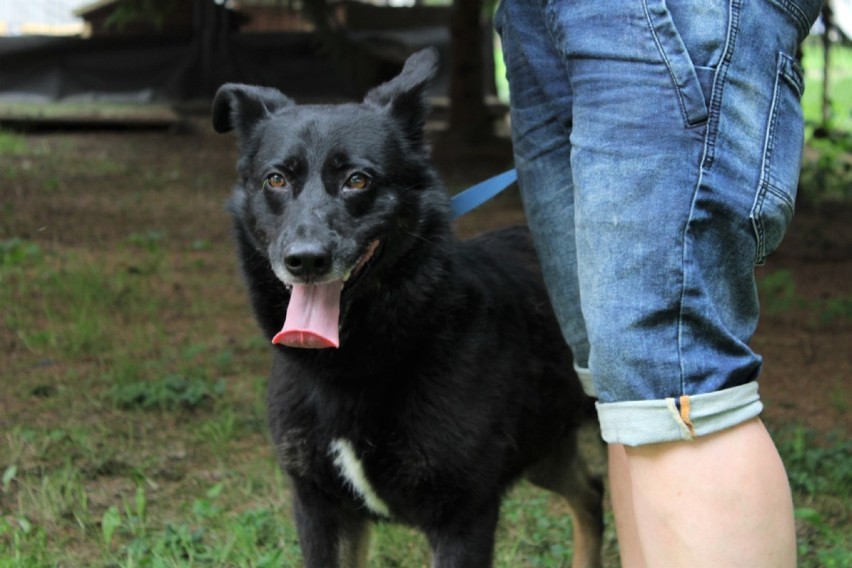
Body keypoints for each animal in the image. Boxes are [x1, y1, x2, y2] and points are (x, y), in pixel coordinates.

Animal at [213, 48, 600, 568]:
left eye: (358, 180)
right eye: (275, 179)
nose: (306, 260)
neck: (354, 368)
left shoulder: (463, 519)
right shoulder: (320, 507)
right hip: (546, 448)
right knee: (591, 496)